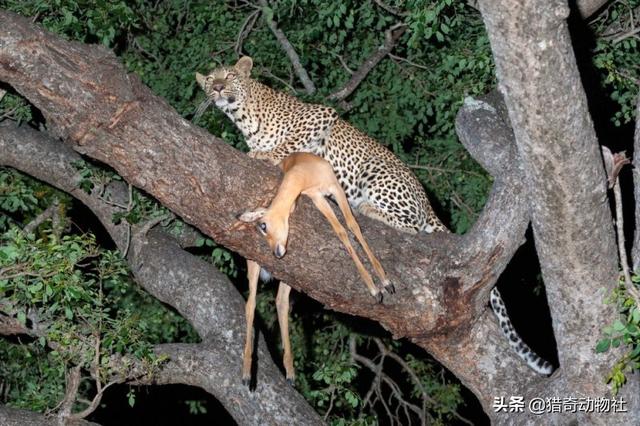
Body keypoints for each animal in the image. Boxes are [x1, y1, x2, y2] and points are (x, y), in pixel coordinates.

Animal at [238, 151, 392, 384]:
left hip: (288, 276)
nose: (276, 252)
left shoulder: (333, 189)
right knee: (251, 304)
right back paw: (247, 373)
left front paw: (384, 282)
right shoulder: (317, 197)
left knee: (281, 302)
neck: (304, 170)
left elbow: (351, 226)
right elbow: (342, 232)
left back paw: (290, 372)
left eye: (263, 226)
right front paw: (375, 289)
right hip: (255, 266)